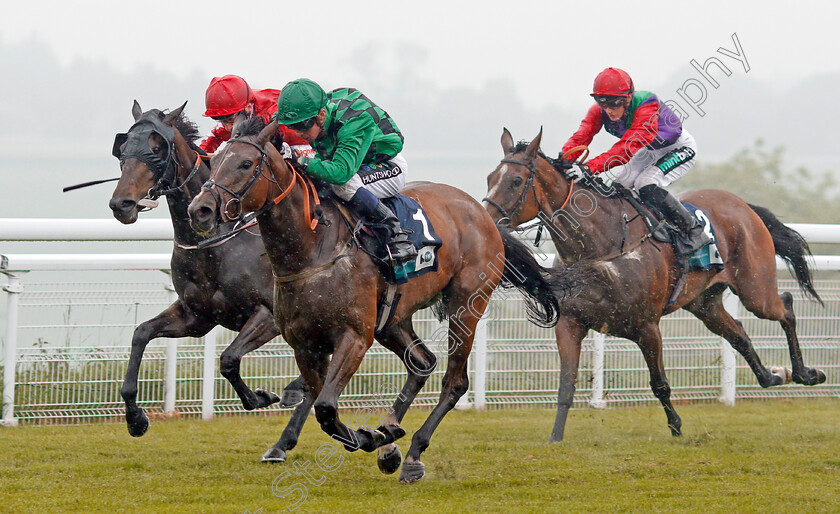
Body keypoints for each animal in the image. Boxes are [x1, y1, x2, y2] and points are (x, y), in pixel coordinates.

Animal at [108, 101, 312, 460]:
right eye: (124, 148)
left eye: (157, 149)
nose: (122, 204)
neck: (216, 243)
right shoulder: (197, 316)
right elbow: (141, 333)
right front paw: (135, 419)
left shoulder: (269, 315)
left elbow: (228, 359)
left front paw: (262, 396)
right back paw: (283, 439)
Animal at [188, 118, 588, 482]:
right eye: (215, 157)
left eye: (245, 164)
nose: (200, 209)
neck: (313, 250)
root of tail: (482, 213)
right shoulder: (304, 343)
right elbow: (317, 403)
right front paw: (376, 435)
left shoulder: (354, 336)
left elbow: (326, 408)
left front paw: (372, 436)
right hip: (393, 318)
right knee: (422, 363)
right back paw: (393, 440)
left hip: (466, 305)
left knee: (454, 381)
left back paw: (412, 454)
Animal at [482, 128, 824, 440]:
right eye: (489, 178)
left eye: (515, 181)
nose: (487, 224)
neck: (599, 247)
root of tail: (744, 206)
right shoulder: (570, 323)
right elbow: (565, 386)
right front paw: (555, 438)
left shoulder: (647, 326)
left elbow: (659, 384)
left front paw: (676, 428)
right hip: (705, 303)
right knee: (739, 334)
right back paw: (774, 375)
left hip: (755, 289)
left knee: (786, 307)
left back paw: (806, 372)